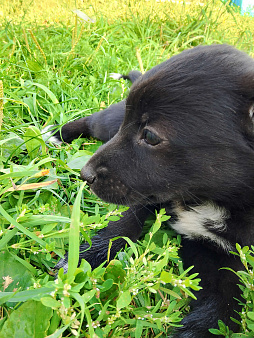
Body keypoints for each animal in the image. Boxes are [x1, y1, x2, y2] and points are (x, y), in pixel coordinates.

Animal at [43, 44, 254, 336]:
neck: (206, 199)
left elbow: (225, 301)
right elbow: (127, 220)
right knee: (91, 120)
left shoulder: (221, 250)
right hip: (109, 122)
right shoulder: (146, 192)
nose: (85, 175)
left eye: (151, 136)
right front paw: (90, 253)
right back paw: (56, 134)